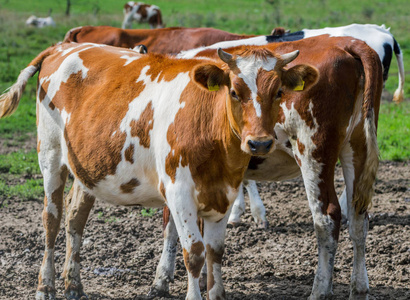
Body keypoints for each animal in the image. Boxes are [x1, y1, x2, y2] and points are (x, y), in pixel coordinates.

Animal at [154, 36, 384, 298]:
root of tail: (346, 42)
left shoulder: (176, 170)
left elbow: (171, 225)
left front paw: (162, 278)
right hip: (357, 149)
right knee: (358, 218)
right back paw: (359, 287)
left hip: (313, 152)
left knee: (327, 218)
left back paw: (320, 290)